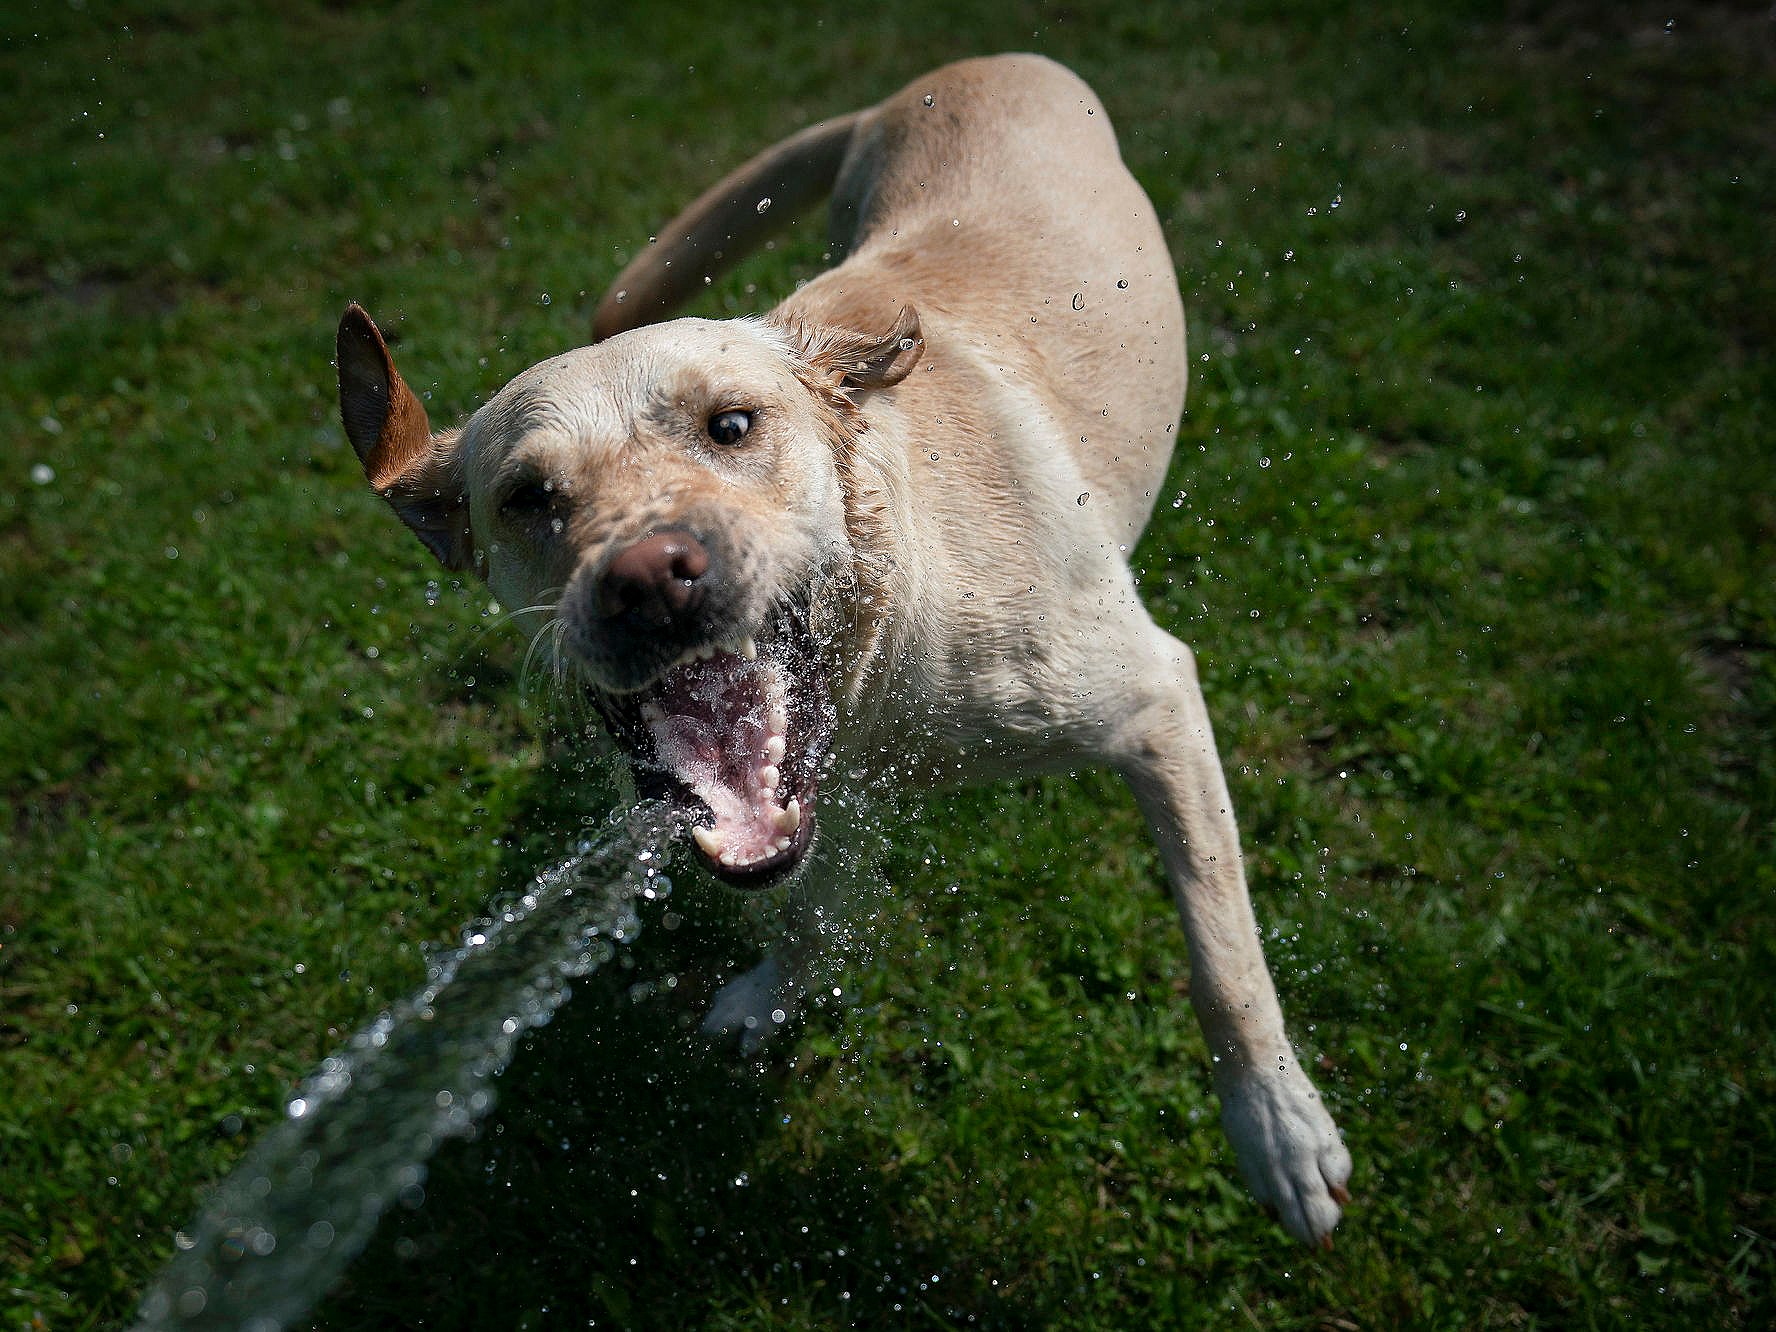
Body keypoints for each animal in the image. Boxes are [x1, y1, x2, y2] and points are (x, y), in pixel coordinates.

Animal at [333, 49, 1349, 1243]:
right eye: (528, 498)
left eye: (732, 426)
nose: (646, 578)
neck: (882, 647)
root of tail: (966, 65)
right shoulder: (827, 795)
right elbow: (809, 904)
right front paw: (777, 990)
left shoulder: (1156, 701)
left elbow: (1221, 954)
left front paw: (1278, 1128)